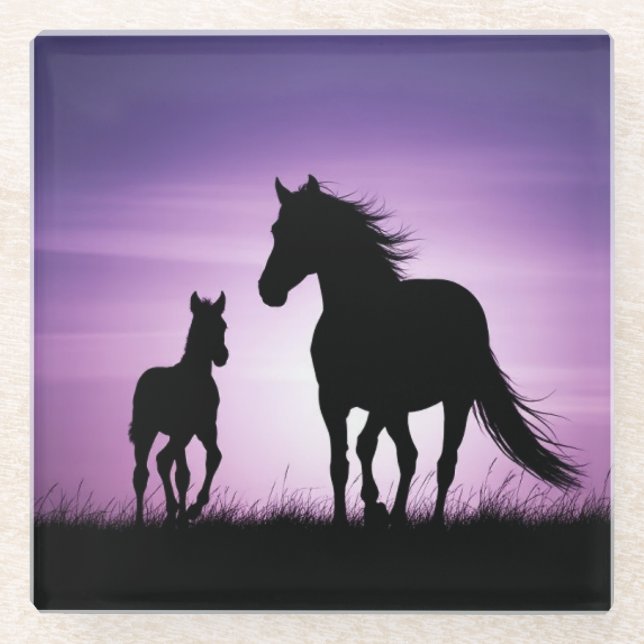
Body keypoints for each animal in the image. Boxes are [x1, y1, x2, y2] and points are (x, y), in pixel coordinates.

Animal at [129, 291, 228, 527]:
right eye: (202, 325)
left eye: (223, 326)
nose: (222, 356)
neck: (195, 375)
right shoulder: (197, 428)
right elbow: (209, 459)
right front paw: (191, 510)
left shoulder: (205, 428)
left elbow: (210, 459)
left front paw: (186, 514)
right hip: (149, 430)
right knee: (153, 465)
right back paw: (151, 519)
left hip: (171, 432)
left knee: (164, 469)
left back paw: (169, 516)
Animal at [259, 175, 580, 528]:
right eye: (276, 229)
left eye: (306, 228)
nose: (268, 290)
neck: (360, 315)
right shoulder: (332, 401)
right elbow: (341, 462)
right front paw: (352, 517)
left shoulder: (386, 400)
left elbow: (370, 447)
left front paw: (375, 507)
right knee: (405, 454)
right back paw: (395, 515)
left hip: (455, 400)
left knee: (443, 461)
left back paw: (429, 521)